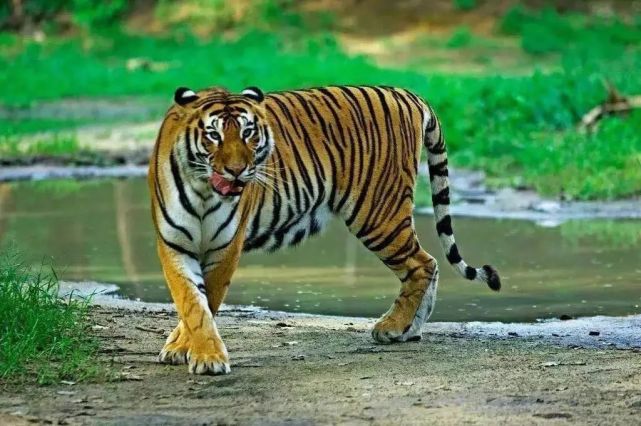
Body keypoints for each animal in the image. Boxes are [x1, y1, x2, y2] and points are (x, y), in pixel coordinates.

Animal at [150, 85, 500, 374]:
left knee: (422, 264)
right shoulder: (174, 244)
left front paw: (205, 357)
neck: (204, 190)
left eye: (249, 133)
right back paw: (410, 331)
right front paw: (183, 348)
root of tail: (407, 94)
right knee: (432, 263)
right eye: (214, 135)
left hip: (378, 214)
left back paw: (392, 326)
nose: (237, 171)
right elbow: (191, 302)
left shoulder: (226, 248)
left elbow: (205, 302)